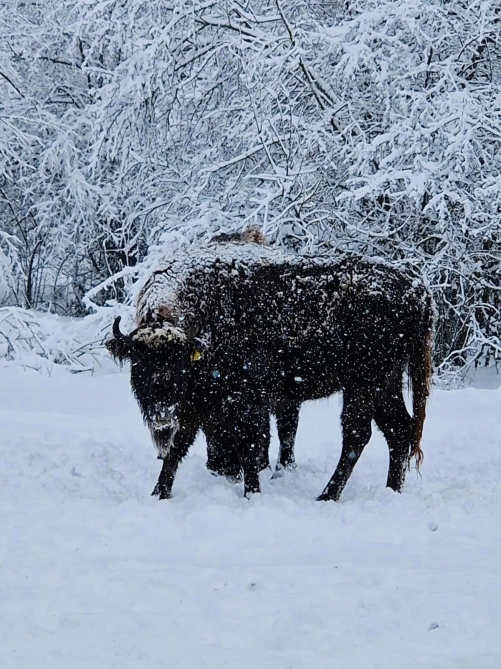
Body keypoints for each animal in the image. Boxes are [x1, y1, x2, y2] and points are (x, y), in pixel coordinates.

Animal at [107, 242, 434, 501]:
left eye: (179, 364)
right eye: (139, 363)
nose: (162, 412)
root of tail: (417, 288)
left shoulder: (241, 401)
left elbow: (249, 444)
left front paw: (252, 492)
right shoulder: (193, 405)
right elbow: (178, 447)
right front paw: (159, 493)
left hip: (364, 385)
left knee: (357, 435)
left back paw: (327, 496)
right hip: (385, 384)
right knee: (398, 429)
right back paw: (391, 490)